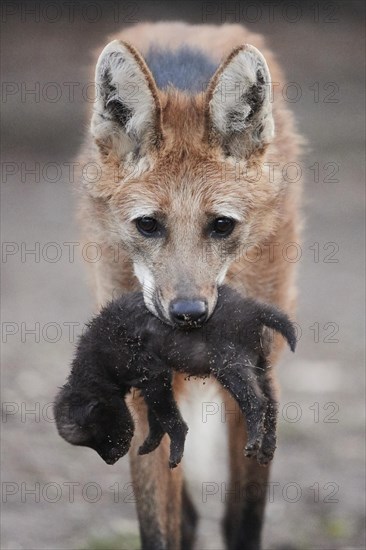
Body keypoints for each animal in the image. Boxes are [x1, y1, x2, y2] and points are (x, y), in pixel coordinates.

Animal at [76, 21, 302, 550]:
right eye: (147, 225)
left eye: (220, 225)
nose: (188, 314)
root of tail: (188, 27)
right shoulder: (143, 387)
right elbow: (159, 524)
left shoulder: (257, 378)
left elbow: (243, 520)